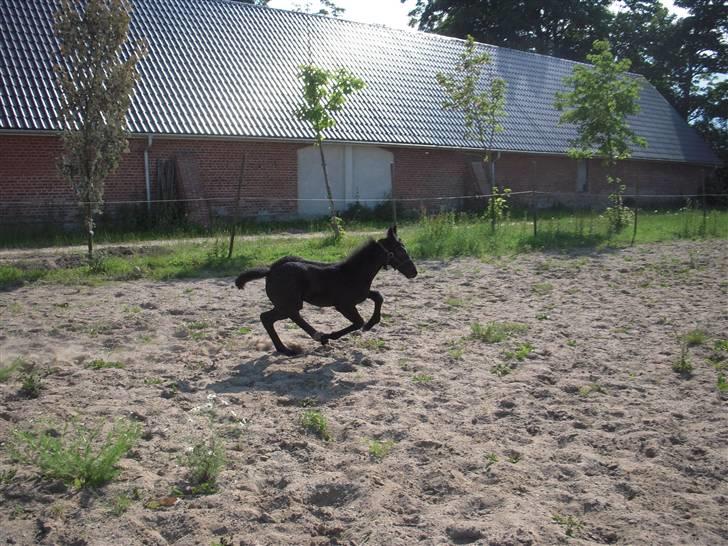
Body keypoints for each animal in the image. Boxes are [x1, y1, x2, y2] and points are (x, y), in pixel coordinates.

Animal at [236, 224, 418, 354]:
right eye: (400, 251)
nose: (414, 272)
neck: (354, 272)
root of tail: (270, 271)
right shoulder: (344, 305)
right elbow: (358, 321)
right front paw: (335, 334)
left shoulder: (362, 295)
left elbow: (378, 296)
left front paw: (371, 324)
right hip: (290, 303)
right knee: (280, 317)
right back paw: (316, 338)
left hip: (284, 304)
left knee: (269, 318)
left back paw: (288, 347)